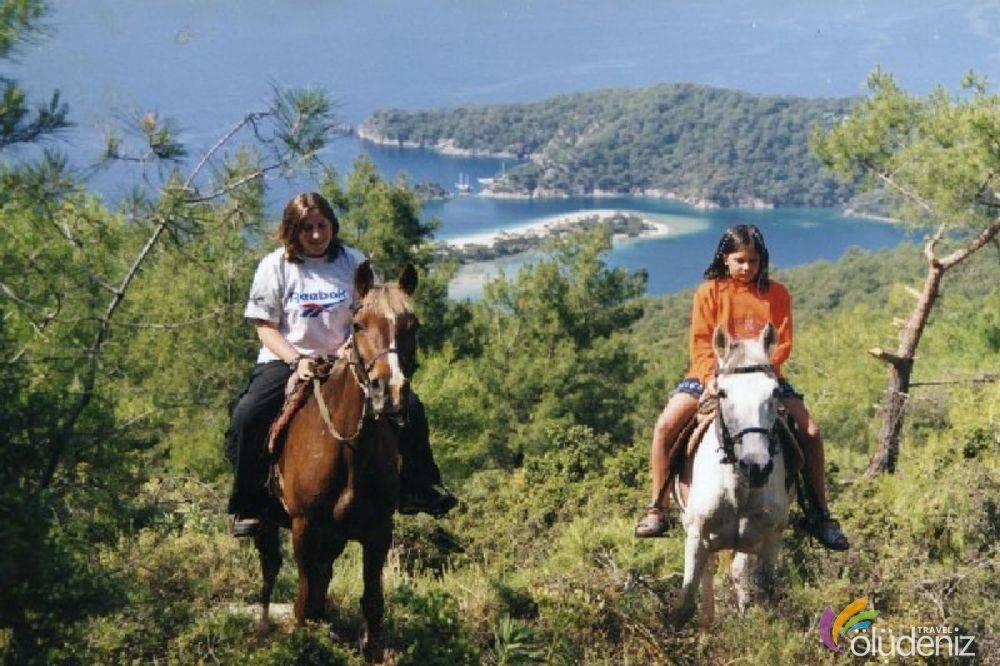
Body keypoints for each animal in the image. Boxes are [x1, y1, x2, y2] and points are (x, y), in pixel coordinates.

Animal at [254, 260, 418, 662]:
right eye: (358, 324)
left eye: (413, 325)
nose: (390, 391)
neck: (350, 447)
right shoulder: (305, 526)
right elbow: (302, 601)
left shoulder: (377, 530)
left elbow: (372, 602)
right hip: (268, 523)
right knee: (270, 571)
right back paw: (263, 630)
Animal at [671, 322, 790, 628]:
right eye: (723, 393)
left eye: (774, 392)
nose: (756, 466)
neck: (737, 489)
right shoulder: (696, 536)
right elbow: (685, 602)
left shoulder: (769, 538)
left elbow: (767, 591)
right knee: (709, 571)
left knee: (738, 571)